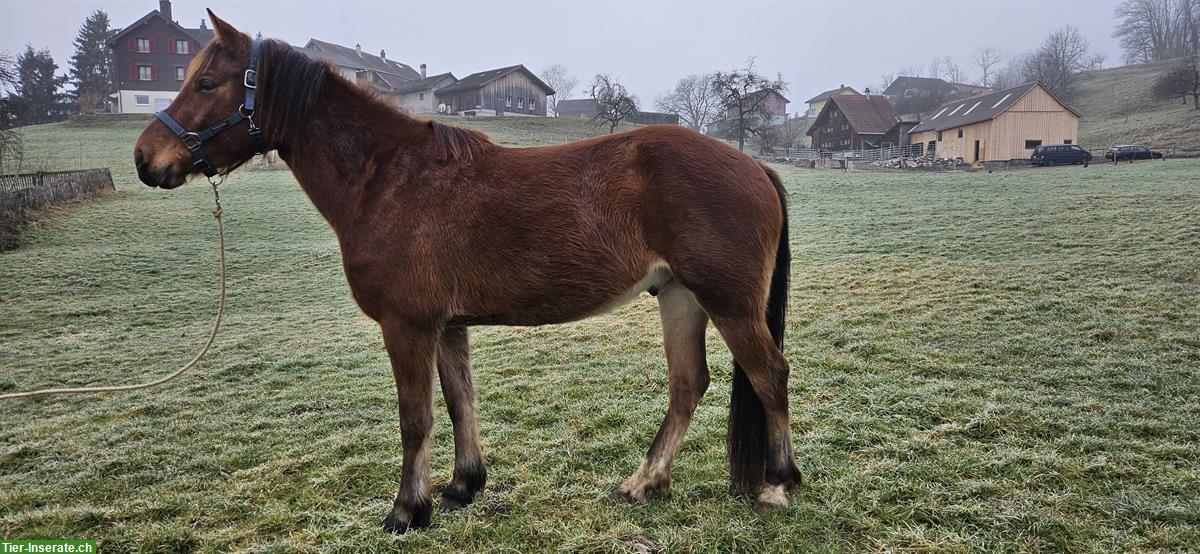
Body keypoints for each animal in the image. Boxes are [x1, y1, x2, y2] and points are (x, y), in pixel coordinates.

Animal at [136, 12, 801, 532]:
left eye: (207, 82)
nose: (145, 159)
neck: (388, 178)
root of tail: (754, 166)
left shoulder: (407, 325)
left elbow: (415, 418)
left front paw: (407, 510)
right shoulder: (448, 325)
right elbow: (460, 403)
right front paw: (462, 487)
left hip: (728, 302)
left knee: (769, 375)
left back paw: (776, 485)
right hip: (680, 297)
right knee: (688, 385)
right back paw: (644, 482)